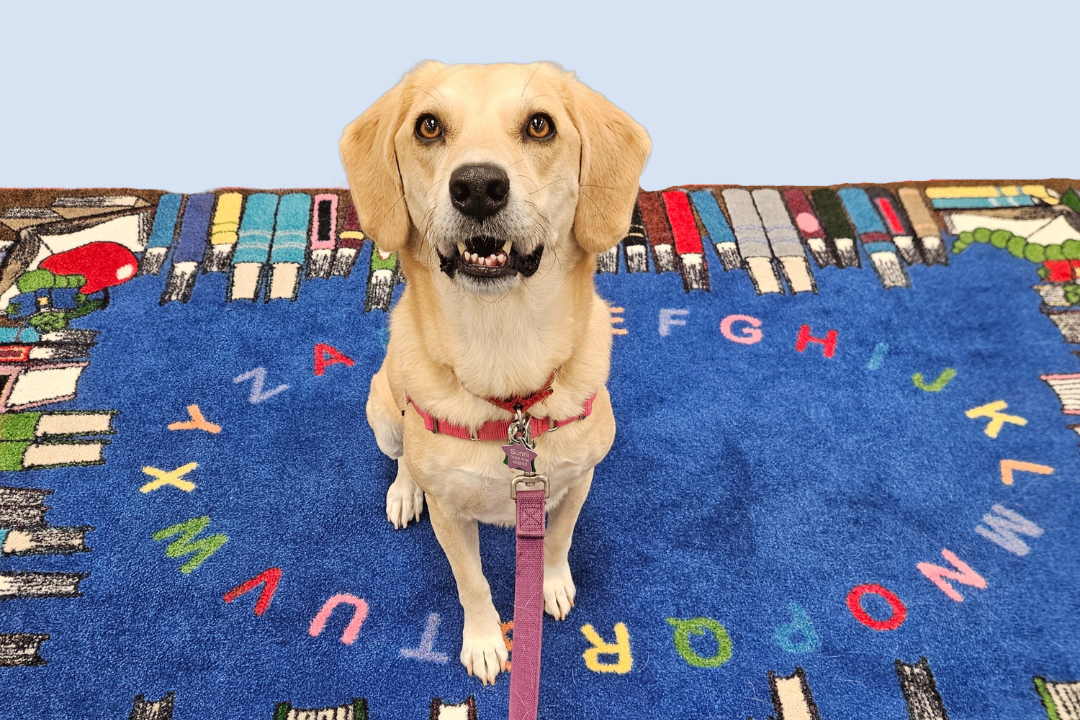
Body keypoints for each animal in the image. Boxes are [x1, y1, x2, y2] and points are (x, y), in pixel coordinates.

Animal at [340, 61, 650, 685]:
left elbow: (557, 542)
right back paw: (403, 492)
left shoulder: (577, 482)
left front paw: (549, 587)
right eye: (428, 126)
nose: (478, 186)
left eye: (540, 125)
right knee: (403, 454)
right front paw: (485, 642)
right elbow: (473, 583)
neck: (504, 359)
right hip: (383, 411)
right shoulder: (450, 516)